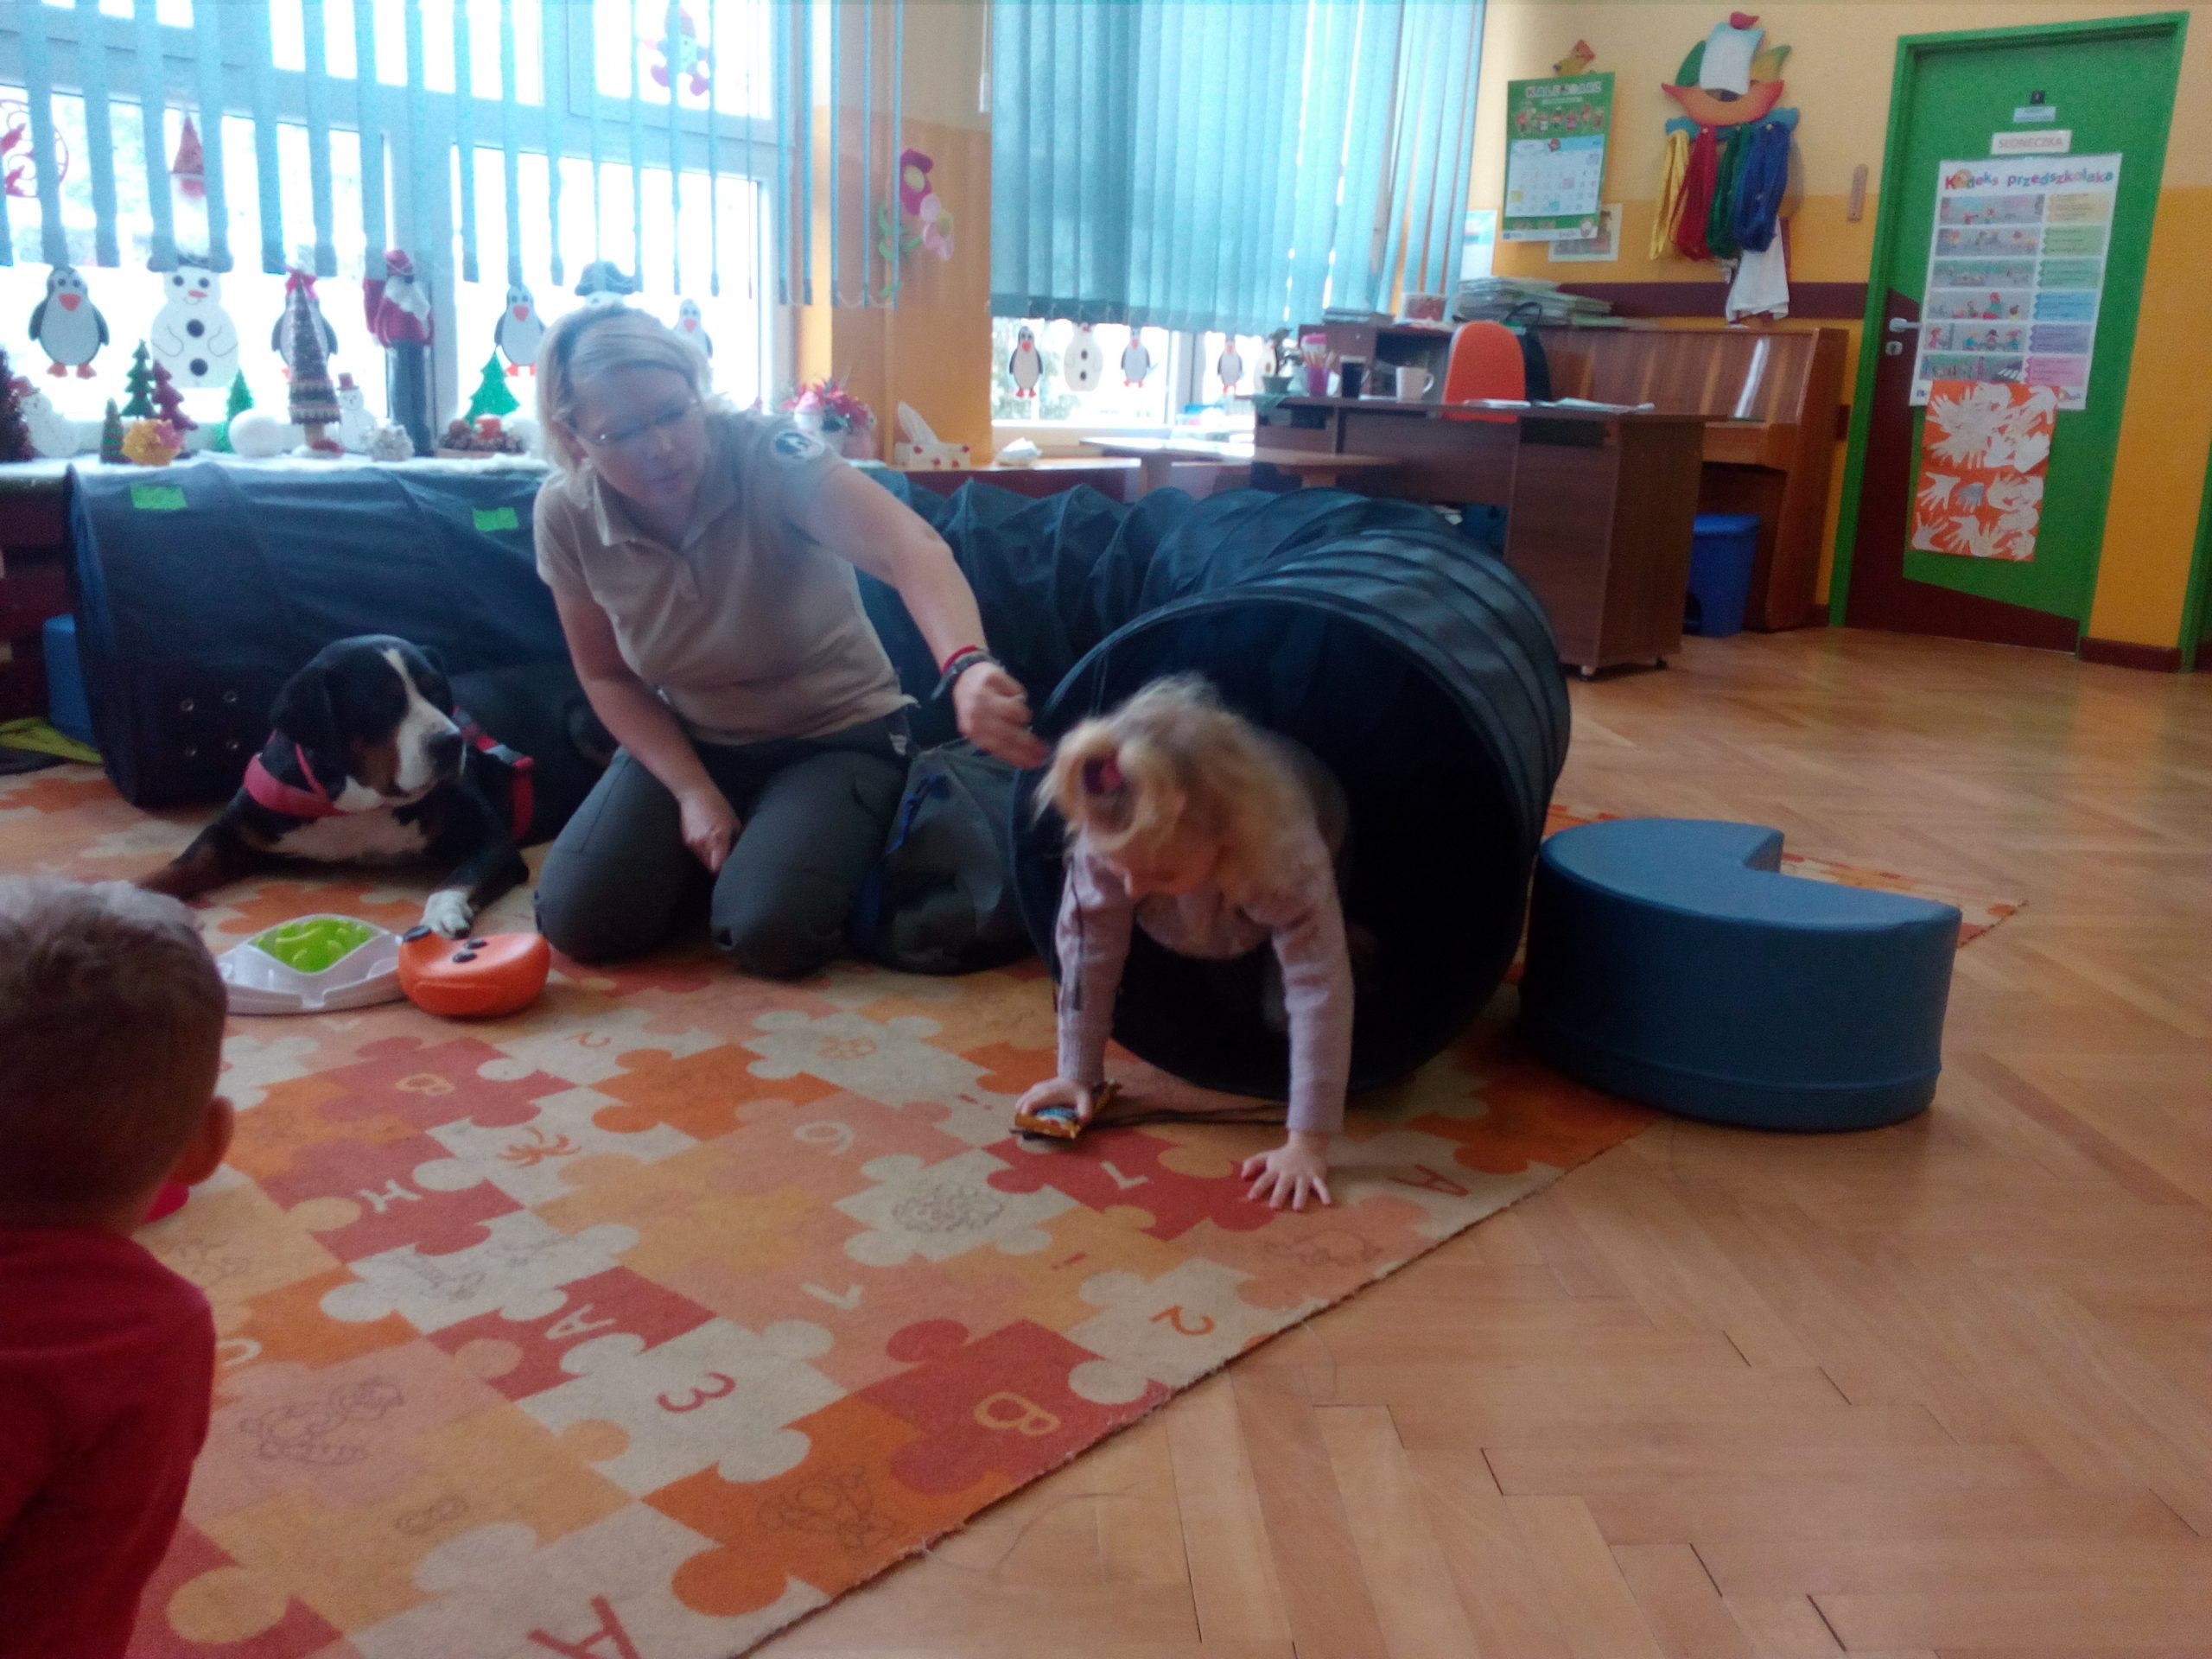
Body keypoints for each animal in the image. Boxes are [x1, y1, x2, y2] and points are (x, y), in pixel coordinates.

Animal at [143, 636, 534, 938]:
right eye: (382, 702)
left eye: (436, 689)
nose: (452, 742)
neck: (354, 802)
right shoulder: (233, 831)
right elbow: (178, 867)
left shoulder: (492, 842)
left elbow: (456, 880)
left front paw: (442, 914)